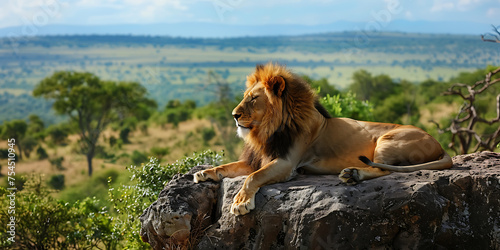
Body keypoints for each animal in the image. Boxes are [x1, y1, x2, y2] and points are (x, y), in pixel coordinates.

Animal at [194, 62, 454, 215]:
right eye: (245, 97)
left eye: (253, 99)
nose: (234, 115)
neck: (267, 130)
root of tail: (438, 143)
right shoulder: (258, 158)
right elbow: (229, 166)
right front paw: (204, 173)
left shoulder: (287, 163)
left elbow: (252, 177)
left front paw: (240, 202)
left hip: (388, 139)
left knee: (385, 170)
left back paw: (353, 174)